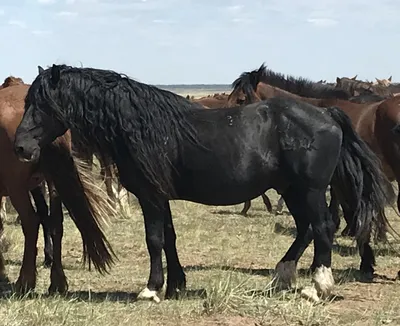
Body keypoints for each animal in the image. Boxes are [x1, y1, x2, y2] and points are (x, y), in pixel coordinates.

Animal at [0, 79, 115, 292]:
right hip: (53, 183)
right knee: (56, 223)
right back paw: (58, 282)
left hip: (17, 188)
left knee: (32, 221)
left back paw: (25, 281)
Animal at [13, 64, 394, 304]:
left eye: (41, 103)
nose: (20, 147)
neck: (141, 126)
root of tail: (327, 114)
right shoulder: (160, 197)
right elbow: (169, 238)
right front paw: (176, 285)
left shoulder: (151, 196)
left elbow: (154, 240)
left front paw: (151, 289)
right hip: (292, 190)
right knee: (305, 229)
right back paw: (282, 276)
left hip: (311, 191)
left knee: (323, 227)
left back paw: (317, 286)